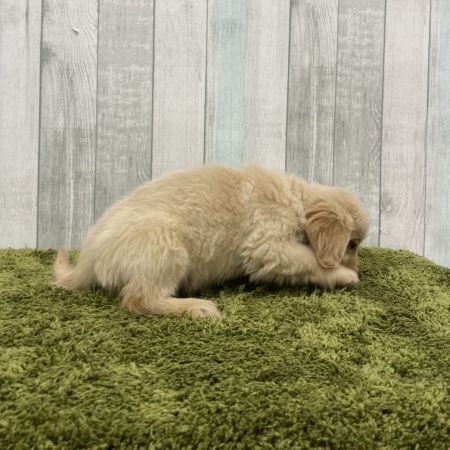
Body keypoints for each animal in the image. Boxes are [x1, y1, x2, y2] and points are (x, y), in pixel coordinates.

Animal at [54, 165, 369, 318]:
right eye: (352, 244)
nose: (361, 271)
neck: (297, 201)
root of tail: (90, 256)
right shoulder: (268, 247)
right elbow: (311, 260)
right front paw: (344, 275)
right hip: (167, 248)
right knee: (139, 298)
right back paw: (197, 307)